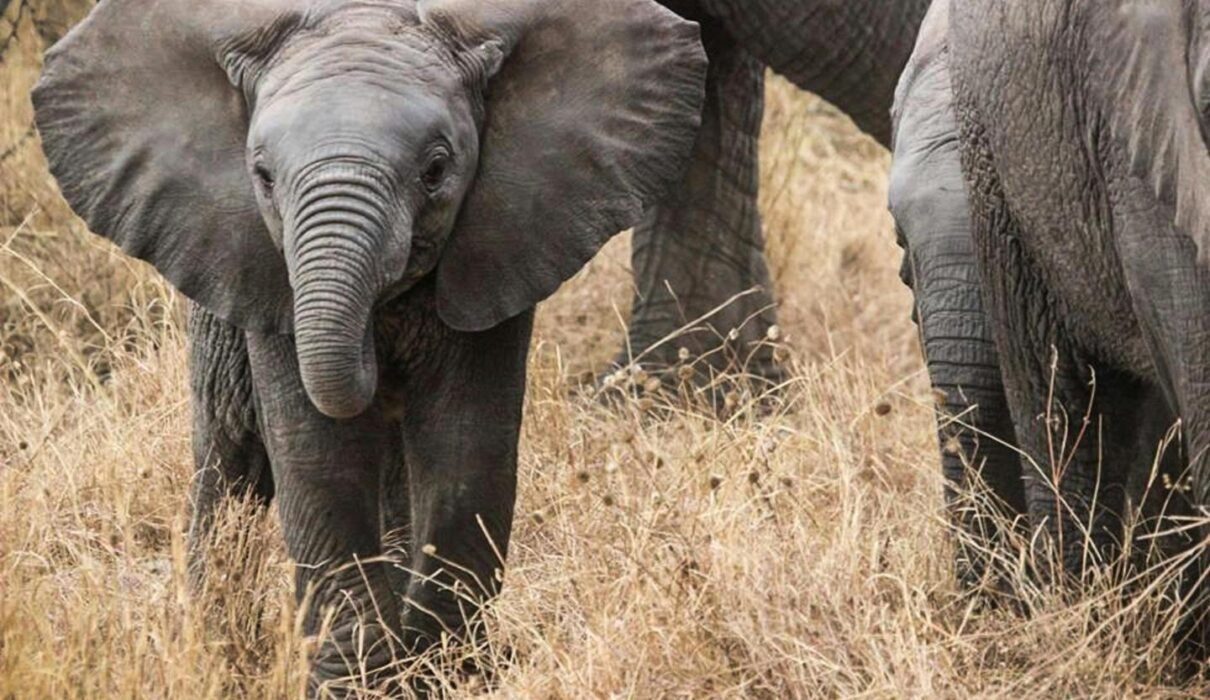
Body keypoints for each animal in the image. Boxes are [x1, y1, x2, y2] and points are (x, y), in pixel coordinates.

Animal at [32, 0, 706, 693]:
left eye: (436, 170)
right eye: (263, 177)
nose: (374, 350)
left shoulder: (504, 242)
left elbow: (466, 447)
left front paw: (446, 678)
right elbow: (317, 456)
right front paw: (358, 684)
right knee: (230, 458)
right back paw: (213, 653)